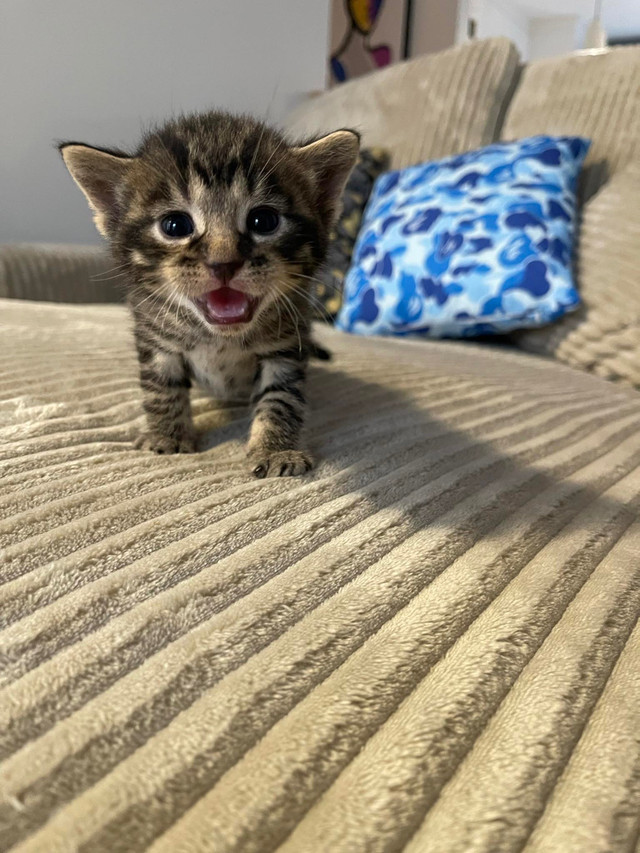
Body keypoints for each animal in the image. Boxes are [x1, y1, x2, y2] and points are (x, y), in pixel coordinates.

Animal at [58, 110, 360, 476]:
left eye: (264, 220)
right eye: (175, 226)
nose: (223, 263)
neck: (220, 339)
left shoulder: (287, 343)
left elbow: (281, 397)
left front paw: (276, 449)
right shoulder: (154, 334)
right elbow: (161, 387)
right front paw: (167, 435)